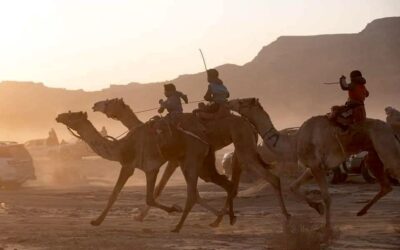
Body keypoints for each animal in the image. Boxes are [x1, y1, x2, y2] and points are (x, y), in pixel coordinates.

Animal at [54, 111, 227, 232]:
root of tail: (205, 143)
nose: (59, 116)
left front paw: (173, 208)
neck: (122, 148)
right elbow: (119, 195)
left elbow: (141, 197)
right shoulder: (139, 167)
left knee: (193, 194)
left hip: (190, 162)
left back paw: (179, 226)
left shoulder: (140, 167)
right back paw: (219, 218)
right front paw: (96, 221)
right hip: (195, 165)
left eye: (72, 115)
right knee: (205, 189)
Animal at [92, 98, 290, 226]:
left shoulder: (174, 160)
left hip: (243, 147)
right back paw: (223, 218)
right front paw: (141, 216)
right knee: (234, 181)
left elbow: (160, 188)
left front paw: (141, 216)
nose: (95, 105)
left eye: (109, 102)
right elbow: (170, 188)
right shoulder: (177, 160)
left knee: (269, 178)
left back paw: (285, 215)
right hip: (241, 149)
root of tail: (250, 125)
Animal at [228, 98, 400, 236]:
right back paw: (361, 211)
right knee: (385, 185)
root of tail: (391, 129)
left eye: (243, 101)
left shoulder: (316, 165)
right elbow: (292, 187)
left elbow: (327, 197)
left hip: (385, 146)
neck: (294, 141)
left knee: (393, 172)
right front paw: (317, 208)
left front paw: (327, 227)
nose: (230, 102)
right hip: (374, 154)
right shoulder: (313, 167)